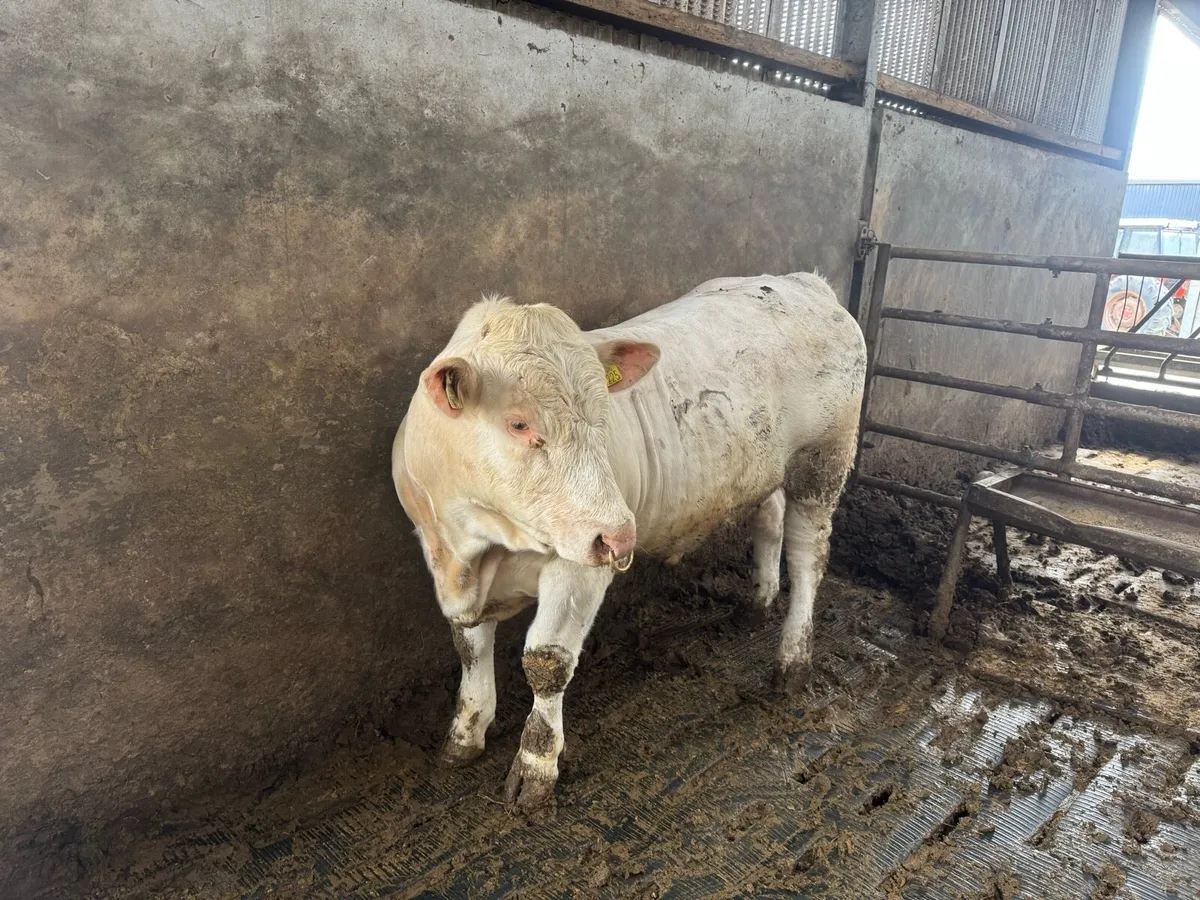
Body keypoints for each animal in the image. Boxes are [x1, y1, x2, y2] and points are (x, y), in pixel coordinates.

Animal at [392, 272, 867, 811]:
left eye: (604, 414)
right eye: (518, 423)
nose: (621, 535)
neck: (480, 544)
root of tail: (801, 282)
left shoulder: (580, 566)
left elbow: (547, 661)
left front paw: (535, 766)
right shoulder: (444, 556)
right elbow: (468, 644)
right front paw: (465, 733)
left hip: (824, 460)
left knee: (807, 559)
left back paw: (792, 662)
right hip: (766, 468)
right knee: (769, 518)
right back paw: (757, 602)